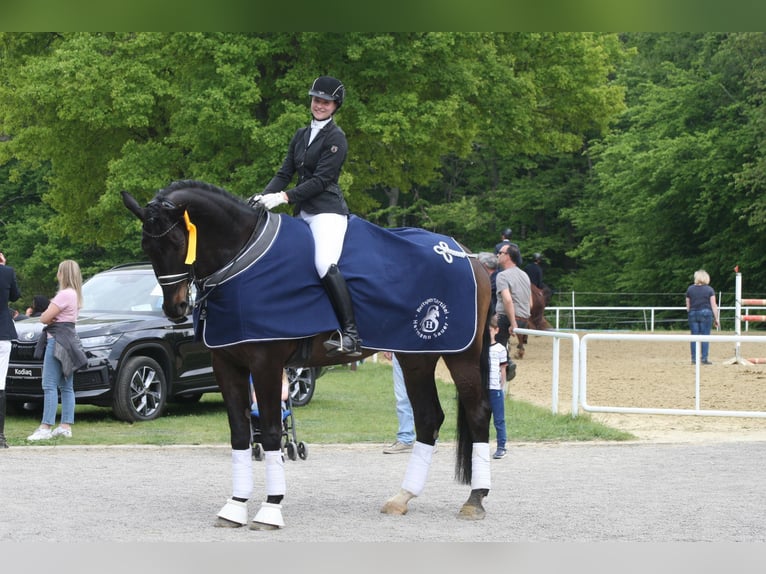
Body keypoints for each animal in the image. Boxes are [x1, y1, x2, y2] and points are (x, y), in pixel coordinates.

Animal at [122, 180, 493, 530]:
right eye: (146, 246)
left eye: (176, 242)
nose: (175, 309)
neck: (243, 258)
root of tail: (463, 253)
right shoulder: (227, 365)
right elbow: (240, 433)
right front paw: (235, 506)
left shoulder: (266, 364)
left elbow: (272, 431)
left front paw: (270, 509)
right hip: (417, 356)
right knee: (428, 418)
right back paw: (403, 497)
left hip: (460, 355)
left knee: (477, 413)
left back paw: (475, 500)